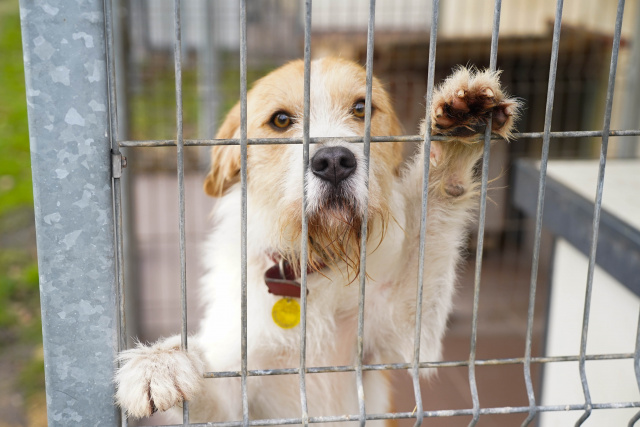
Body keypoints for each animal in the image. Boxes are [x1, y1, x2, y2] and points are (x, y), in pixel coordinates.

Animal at [115, 57, 520, 424]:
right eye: (280, 120)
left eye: (361, 108)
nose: (335, 160)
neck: (317, 262)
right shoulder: (240, 381)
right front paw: (159, 363)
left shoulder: (404, 331)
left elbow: (434, 216)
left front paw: (457, 138)